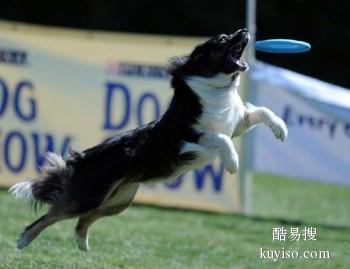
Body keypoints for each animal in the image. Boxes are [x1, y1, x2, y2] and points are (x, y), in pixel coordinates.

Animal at [9, 28, 288, 250]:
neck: (216, 91)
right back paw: (23, 239)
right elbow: (220, 138)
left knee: (83, 220)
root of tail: (83, 156)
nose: (244, 30)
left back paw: (82, 244)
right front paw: (232, 163)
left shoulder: (237, 124)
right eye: (222, 39)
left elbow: (262, 111)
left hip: (117, 201)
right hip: (90, 195)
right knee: (53, 214)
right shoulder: (185, 140)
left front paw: (281, 129)